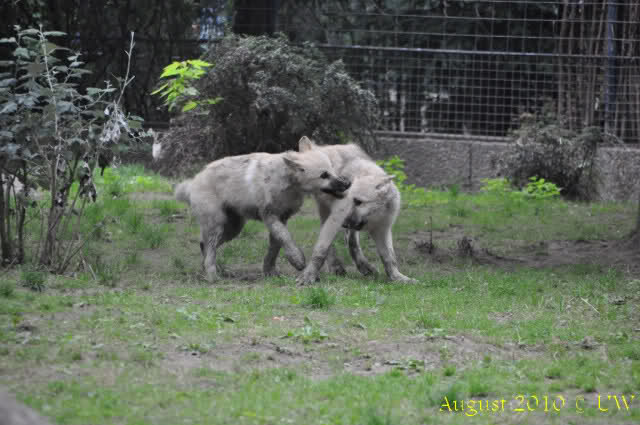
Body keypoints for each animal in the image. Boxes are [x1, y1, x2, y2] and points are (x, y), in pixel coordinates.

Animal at [175, 137, 351, 282]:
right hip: (217, 227)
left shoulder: (281, 218)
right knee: (209, 249)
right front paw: (297, 260)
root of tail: (192, 183)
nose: (347, 183)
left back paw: (211, 270)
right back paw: (212, 276)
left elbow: (275, 247)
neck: (286, 182)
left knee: (203, 245)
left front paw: (269, 271)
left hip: (232, 228)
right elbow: (285, 238)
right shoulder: (270, 217)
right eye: (324, 175)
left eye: (332, 170)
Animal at [294, 140, 417, 284]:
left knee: (351, 241)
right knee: (331, 246)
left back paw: (364, 267)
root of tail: (318, 148)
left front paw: (397, 278)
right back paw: (337, 267)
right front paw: (308, 276)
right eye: (350, 200)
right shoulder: (335, 220)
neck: (375, 215)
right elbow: (320, 250)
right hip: (327, 213)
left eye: (358, 202)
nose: (344, 224)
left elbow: (389, 258)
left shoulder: (382, 229)